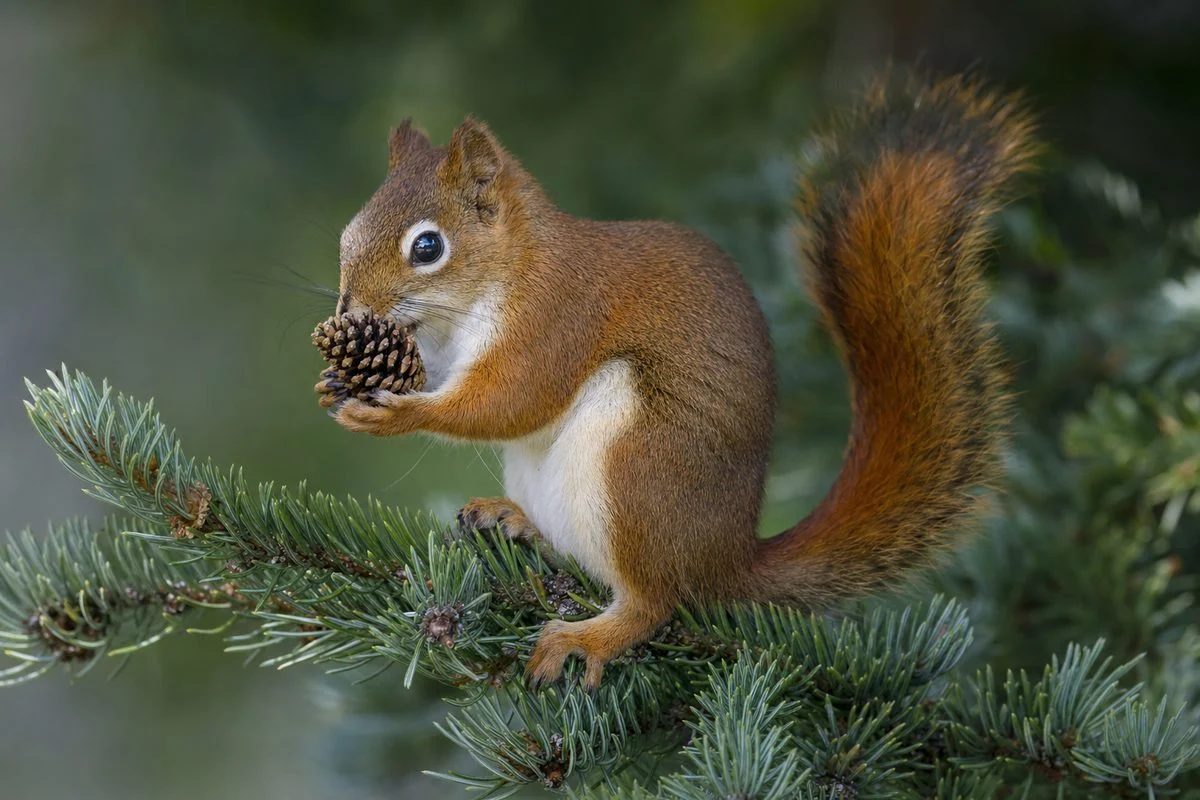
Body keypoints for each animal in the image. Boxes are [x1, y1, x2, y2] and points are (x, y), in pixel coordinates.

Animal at [322, 74, 1036, 689]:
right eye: (347, 233)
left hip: (638, 465)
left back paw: (587, 637)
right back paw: (513, 519)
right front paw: (338, 379)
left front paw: (397, 413)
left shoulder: (557, 317)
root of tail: (727, 557)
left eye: (427, 247)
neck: (489, 287)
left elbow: (511, 401)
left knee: (654, 602)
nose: (348, 310)